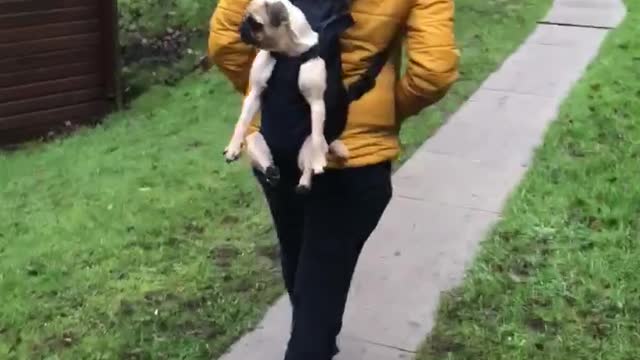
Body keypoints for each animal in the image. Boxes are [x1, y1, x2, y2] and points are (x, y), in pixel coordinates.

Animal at [222, 0, 348, 193]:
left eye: (254, 23)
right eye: (245, 18)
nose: (241, 27)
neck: (286, 53)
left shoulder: (316, 102)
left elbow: (317, 135)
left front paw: (318, 161)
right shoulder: (255, 93)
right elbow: (242, 122)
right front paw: (233, 147)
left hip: (306, 148)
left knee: (309, 160)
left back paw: (304, 182)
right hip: (255, 139)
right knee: (267, 163)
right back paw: (271, 171)